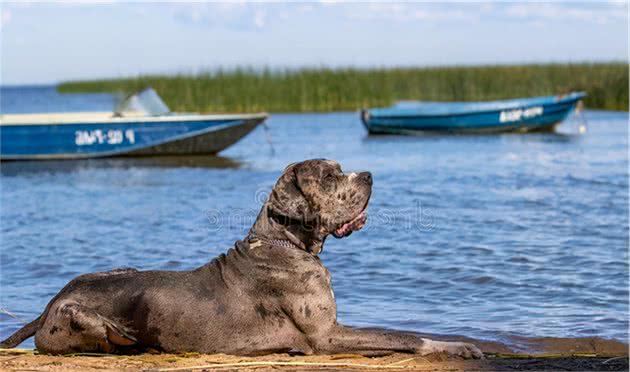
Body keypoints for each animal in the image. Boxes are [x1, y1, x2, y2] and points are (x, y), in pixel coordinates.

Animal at [1, 159, 484, 358]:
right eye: (329, 177)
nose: (368, 175)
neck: (284, 243)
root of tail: (48, 304)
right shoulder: (326, 336)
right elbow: (406, 336)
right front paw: (457, 347)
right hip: (83, 317)